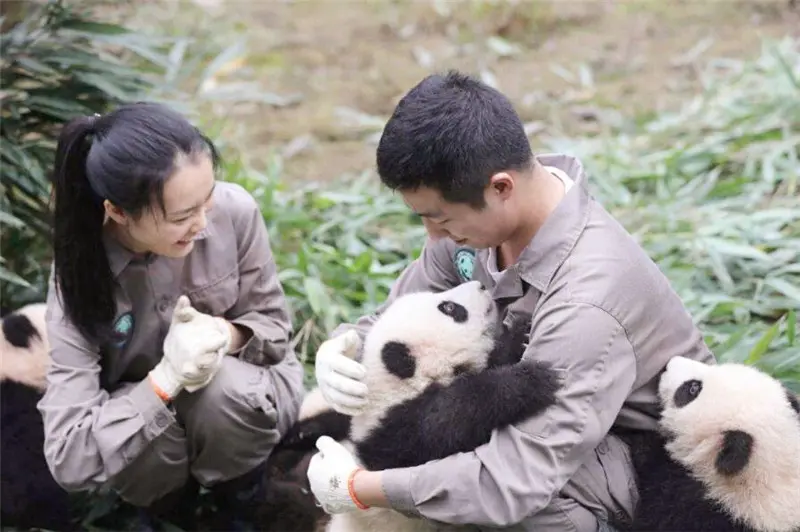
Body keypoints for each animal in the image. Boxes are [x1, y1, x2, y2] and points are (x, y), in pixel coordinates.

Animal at [276, 278, 564, 532]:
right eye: (449, 308)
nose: (482, 285)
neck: (397, 389)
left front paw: (519, 336)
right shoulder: (397, 434)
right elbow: (449, 421)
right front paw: (530, 380)